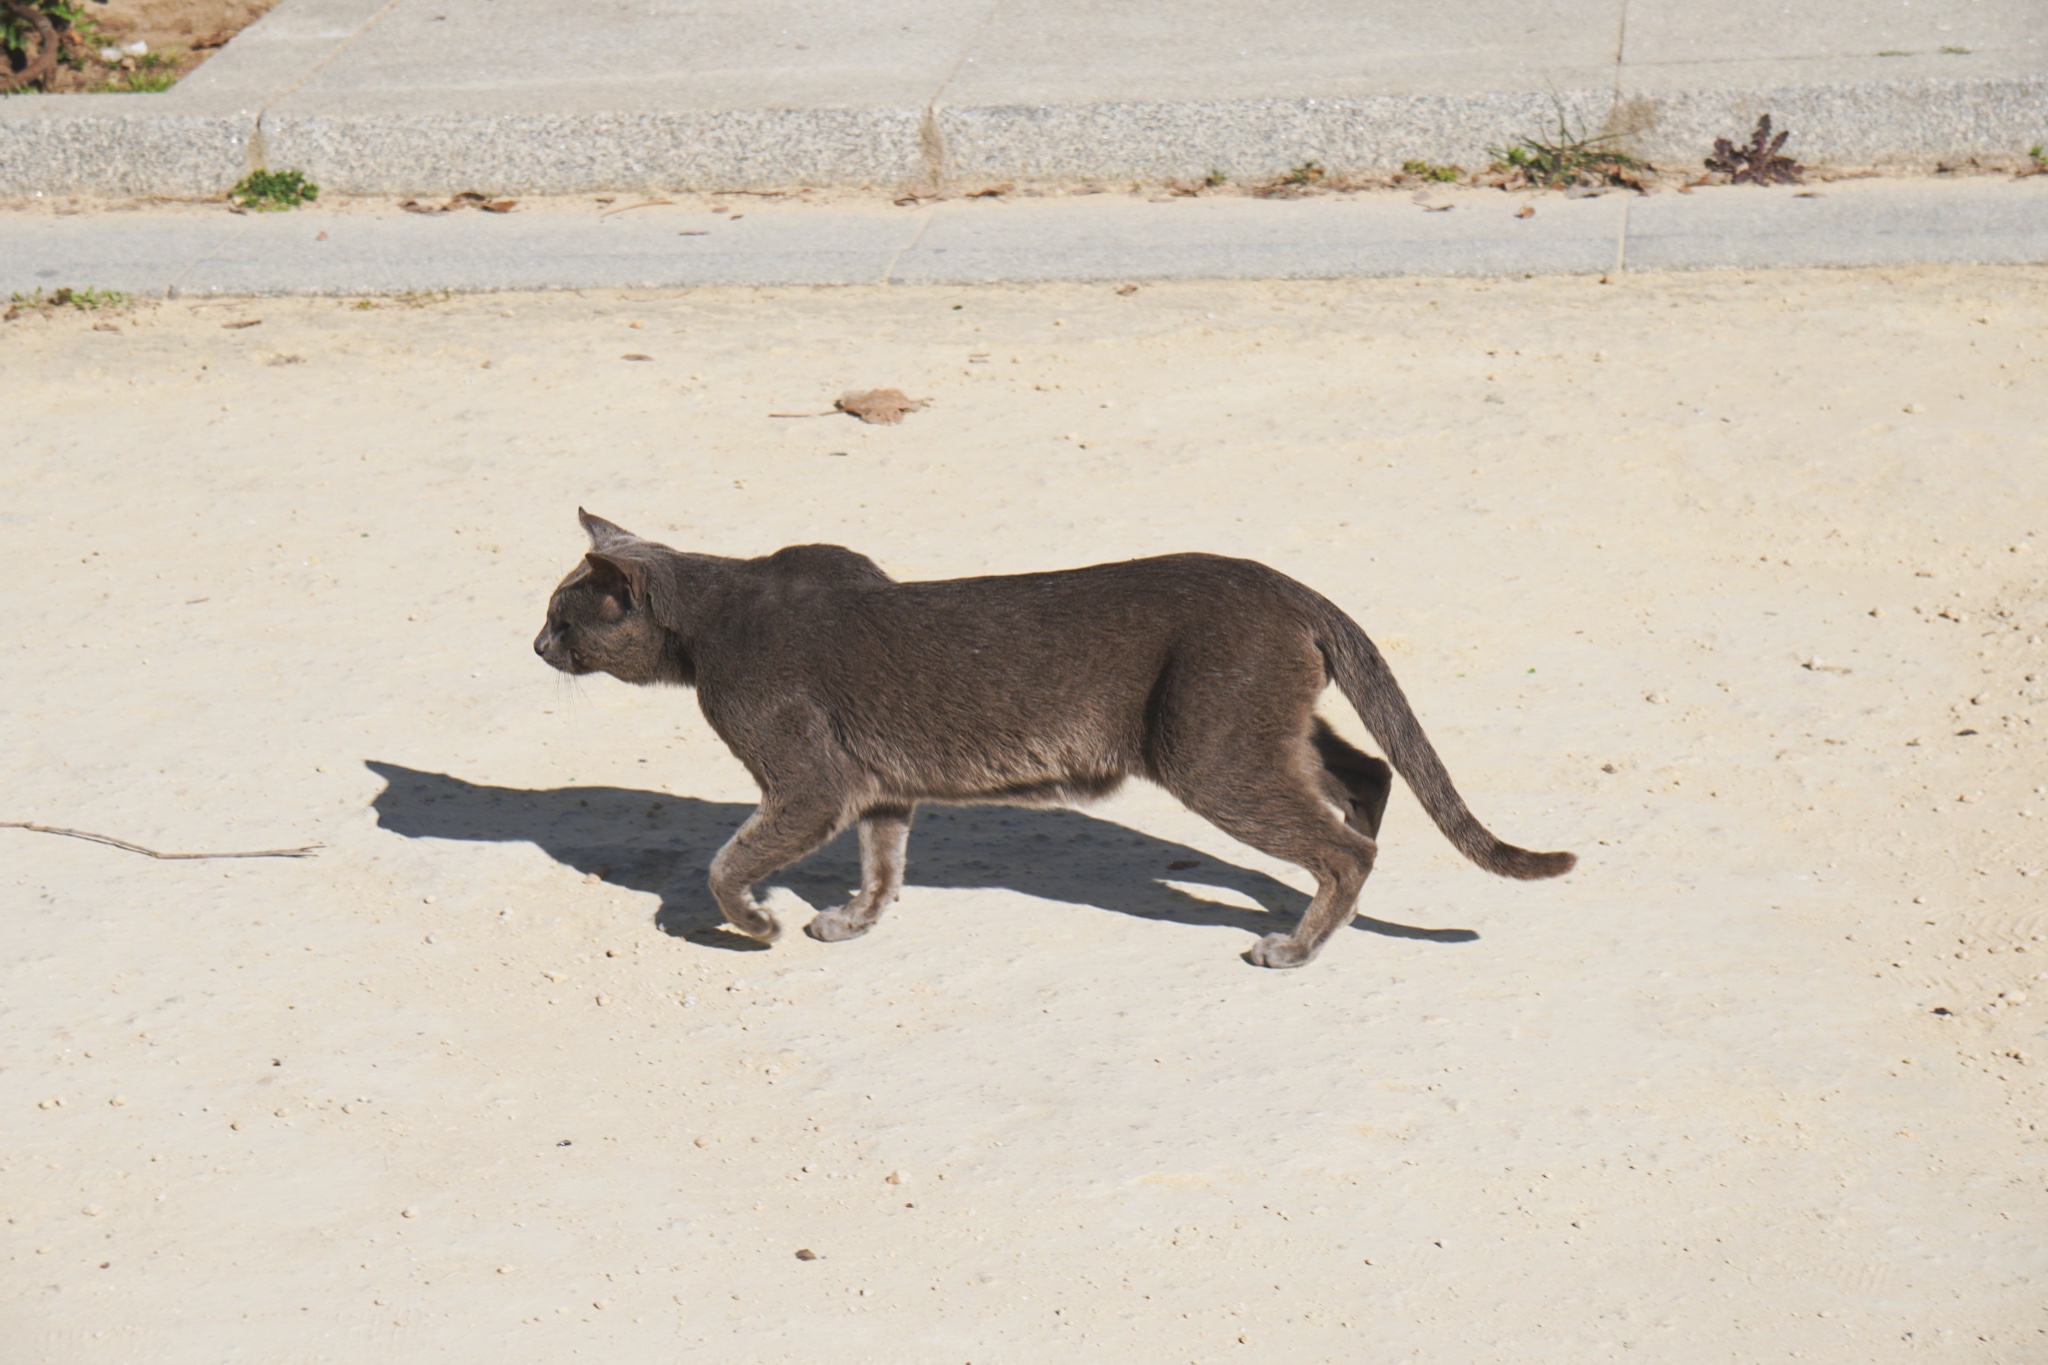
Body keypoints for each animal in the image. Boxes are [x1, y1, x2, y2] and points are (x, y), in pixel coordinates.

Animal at [536, 511, 1572, 970]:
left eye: (560, 613)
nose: (536, 644)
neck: (715, 617)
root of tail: (1283, 582)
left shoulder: (810, 783)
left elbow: (727, 862)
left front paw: (756, 924)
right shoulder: (876, 787)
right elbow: (884, 865)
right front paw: (853, 921)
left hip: (1214, 751)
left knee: (1346, 843)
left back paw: (1298, 943)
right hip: (1262, 731)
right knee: (1368, 775)